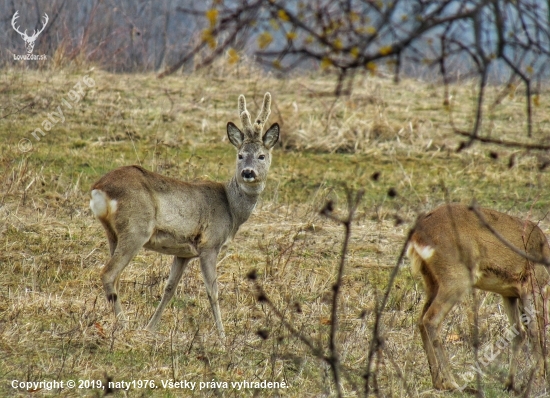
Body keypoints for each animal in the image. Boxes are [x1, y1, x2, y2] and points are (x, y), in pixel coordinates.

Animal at [91, 92, 280, 336]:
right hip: (136, 229)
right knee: (108, 273)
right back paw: (123, 324)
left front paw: (151, 327)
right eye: (240, 155)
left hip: (112, 232)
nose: (248, 172)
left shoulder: (183, 252)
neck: (231, 209)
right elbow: (213, 292)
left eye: (261, 156)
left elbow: (170, 288)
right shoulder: (210, 245)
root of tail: (99, 188)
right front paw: (222, 335)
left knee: (115, 277)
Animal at [408, 204, 548, 390]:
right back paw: (452, 382)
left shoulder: (509, 293)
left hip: (431, 281)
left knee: (421, 320)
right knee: (431, 320)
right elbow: (534, 331)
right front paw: (537, 377)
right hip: (455, 277)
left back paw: (438, 382)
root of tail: (418, 235)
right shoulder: (530, 285)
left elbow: (519, 334)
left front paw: (510, 383)